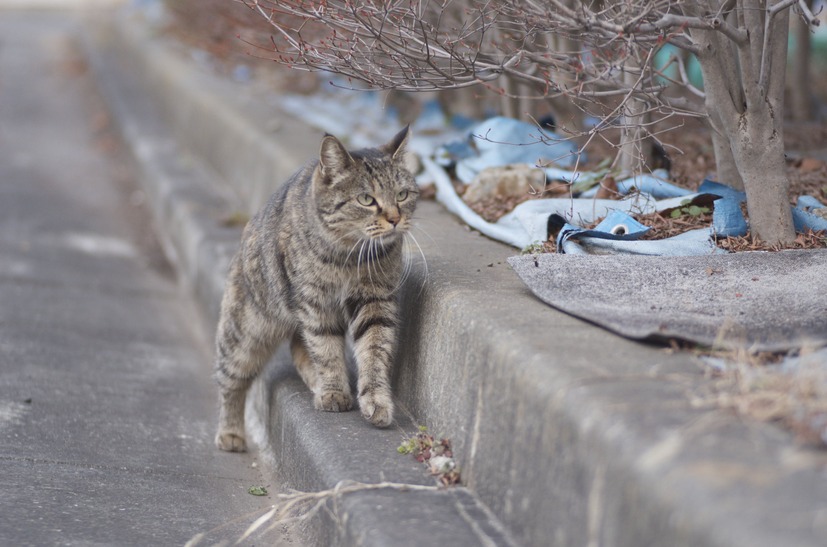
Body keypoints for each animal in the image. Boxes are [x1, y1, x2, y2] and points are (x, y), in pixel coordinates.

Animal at [215, 128, 418, 454]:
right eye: (366, 199)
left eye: (402, 195)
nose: (395, 219)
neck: (350, 255)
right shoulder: (315, 302)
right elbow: (326, 347)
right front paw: (334, 390)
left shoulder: (375, 302)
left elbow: (374, 351)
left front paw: (375, 400)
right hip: (244, 335)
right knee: (231, 381)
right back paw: (230, 432)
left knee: (298, 347)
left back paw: (315, 380)